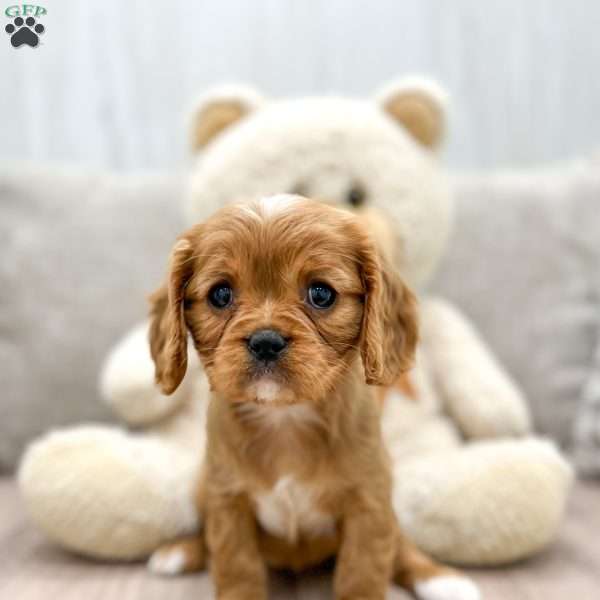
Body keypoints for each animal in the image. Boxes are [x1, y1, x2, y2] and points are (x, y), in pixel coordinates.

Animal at [148, 197, 480, 600]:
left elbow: (363, 570)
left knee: (401, 545)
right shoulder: (227, 500)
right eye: (220, 295)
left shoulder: (369, 501)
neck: (285, 418)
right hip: (202, 486)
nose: (266, 341)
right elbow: (236, 566)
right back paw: (180, 551)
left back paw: (439, 578)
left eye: (321, 294)